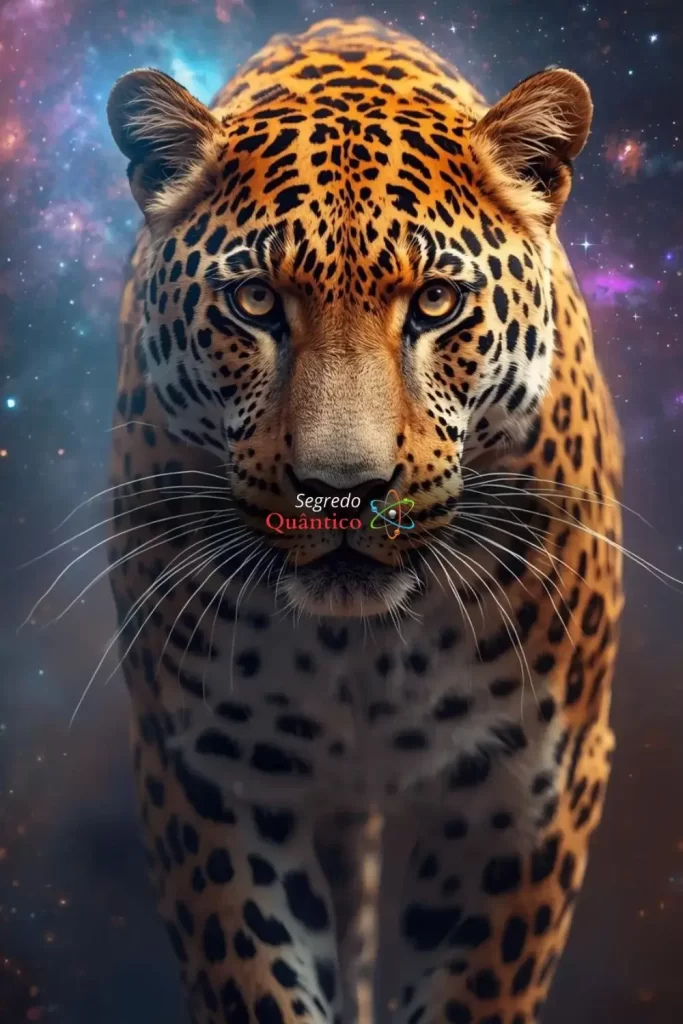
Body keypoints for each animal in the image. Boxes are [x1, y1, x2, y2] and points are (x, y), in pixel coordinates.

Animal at [105, 15, 624, 1024]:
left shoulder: (531, 787)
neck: (361, 653)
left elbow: (476, 987)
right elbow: (254, 976)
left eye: (436, 302)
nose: (342, 489)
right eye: (255, 301)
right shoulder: (205, 773)